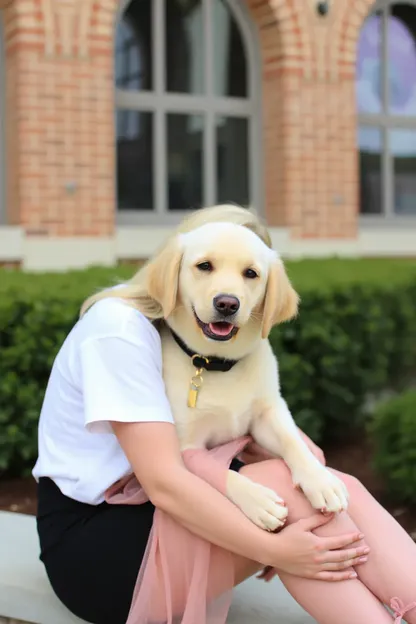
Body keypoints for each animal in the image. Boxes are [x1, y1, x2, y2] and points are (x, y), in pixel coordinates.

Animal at [146, 222, 348, 528]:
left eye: (251, 273)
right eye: (204, 266)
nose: (227, 304)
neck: (218, 362)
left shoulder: (267, 413)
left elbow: (293, 441)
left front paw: (320, 480)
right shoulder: (185, 446)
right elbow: (219, 471)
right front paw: (259, 500)